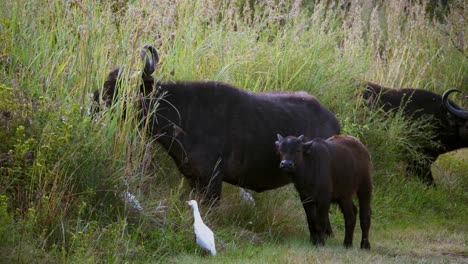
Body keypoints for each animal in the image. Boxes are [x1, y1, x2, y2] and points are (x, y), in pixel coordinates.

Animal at [94, 44, 340, 202]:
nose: (94, 103)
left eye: (120, 87)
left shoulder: (212, 181)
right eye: (108, 80)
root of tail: (335, 123)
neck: (183, 113)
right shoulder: (194, 179)